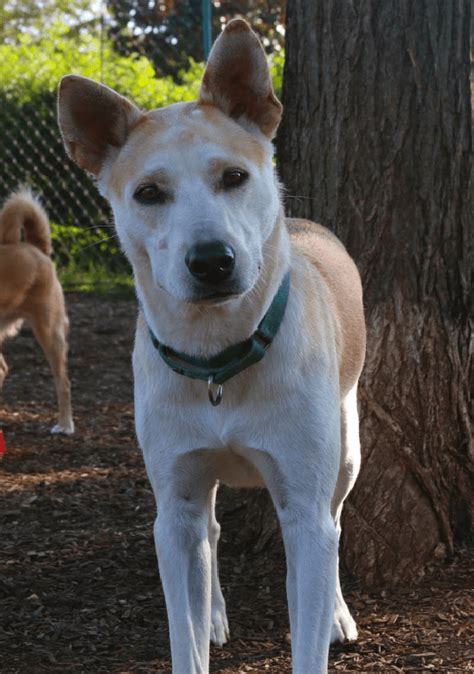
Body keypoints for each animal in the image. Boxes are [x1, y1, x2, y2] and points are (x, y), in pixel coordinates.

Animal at [57, 18, 364, 668]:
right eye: (148, 193)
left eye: (234, 177)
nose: (212, 261)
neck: (219, 360)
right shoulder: (174, 508)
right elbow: (186, 630)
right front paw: (202, 625)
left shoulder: (302, 508)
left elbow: (312, 581)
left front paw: (320, 622)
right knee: (213, 533)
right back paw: (217, 611)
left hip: (346, 449)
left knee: (336, 520)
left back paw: (335, 614)